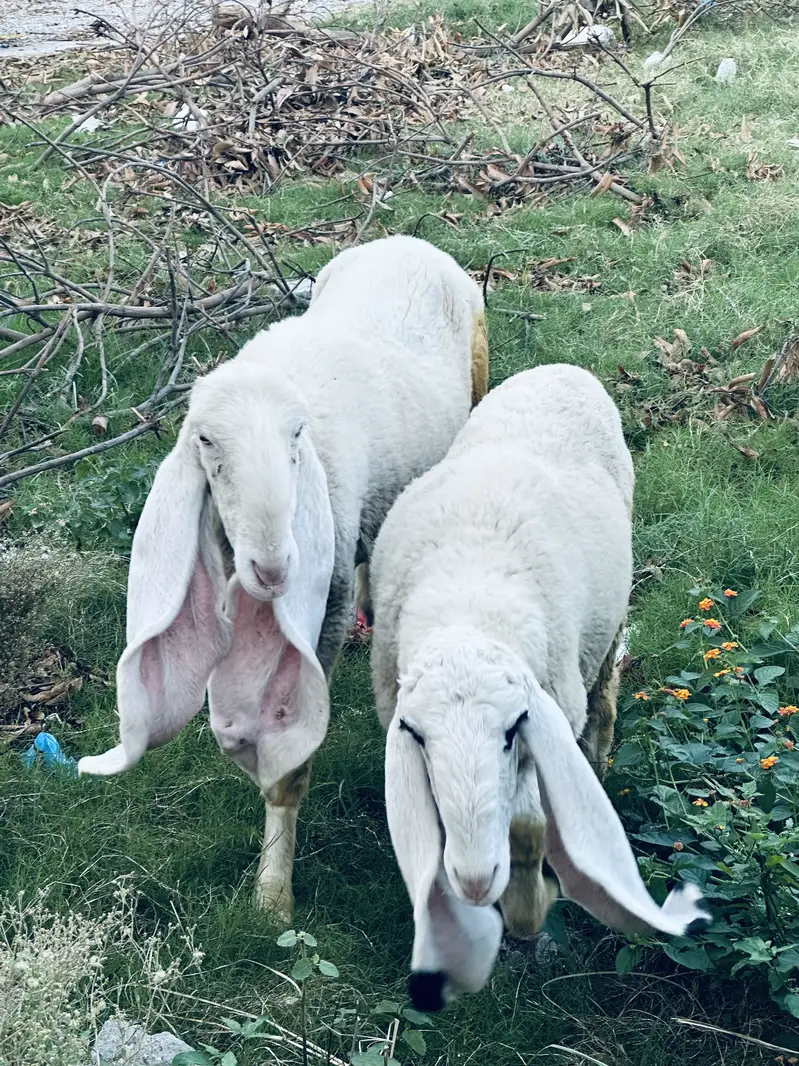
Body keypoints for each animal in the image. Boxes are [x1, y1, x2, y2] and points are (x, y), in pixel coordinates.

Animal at [78, 234, 489, 922]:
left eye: (297, 435)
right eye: (206, 441)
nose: (273, 571)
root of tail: (404, 239)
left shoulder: (318, 618)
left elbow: (287, 769)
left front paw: (274, 895)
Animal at [369, 363, 709, 1011]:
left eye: (510, 731)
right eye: (417, 737)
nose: (476, 882)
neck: (468, 603)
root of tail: (563, 369)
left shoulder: (546, 719)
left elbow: (528, 828)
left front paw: (529, 911)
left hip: (605, 633)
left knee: (603, 702)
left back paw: (596, 762)